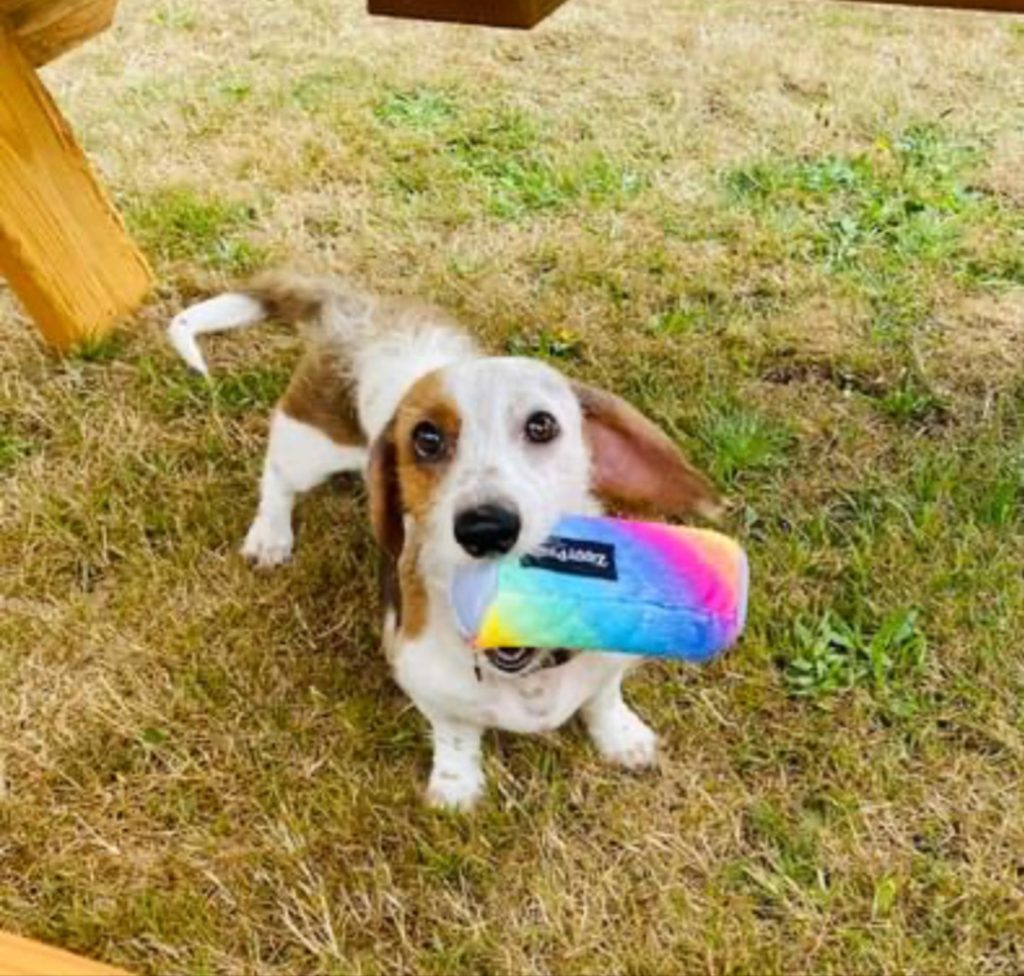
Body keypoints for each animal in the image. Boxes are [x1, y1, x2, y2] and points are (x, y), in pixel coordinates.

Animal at [167, 272, 720, 807]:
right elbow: (456, 734)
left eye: (542, 425)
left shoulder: (611, 662)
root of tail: (358, 308)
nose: (486, 527)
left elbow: (603, 698)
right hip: (308, 445)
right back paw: (271, 535)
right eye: (426, 438)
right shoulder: (422, 677)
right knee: (277, 478)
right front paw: (457, 786)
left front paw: (621, 738)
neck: (524, 671)